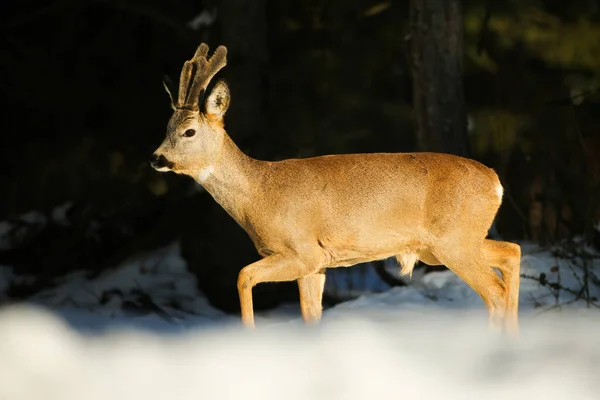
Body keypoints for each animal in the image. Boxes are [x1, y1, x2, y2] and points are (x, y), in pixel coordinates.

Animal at [150, 42, 520, 332]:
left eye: (188, 132)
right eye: (166, 127)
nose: (156, 158)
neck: (259, 192)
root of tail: (495, 182)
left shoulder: (302, 250)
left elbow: (243, 275)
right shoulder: (318, 264)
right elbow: (310, 316)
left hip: (453, 241)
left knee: (494, 290)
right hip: (451, 242)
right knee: (511, 253)